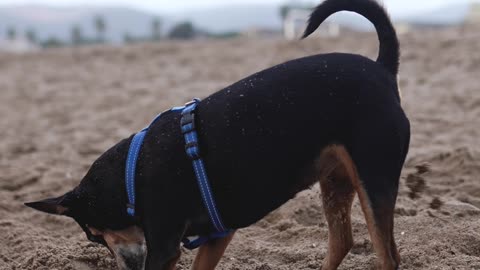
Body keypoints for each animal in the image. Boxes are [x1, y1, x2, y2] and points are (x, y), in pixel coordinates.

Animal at [25, 0, 408, 268]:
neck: (131, 175)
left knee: (387, 255)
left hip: (373, 179)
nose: (121, 265)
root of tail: (382, 69)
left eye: (94, 236)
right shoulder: (216, 234)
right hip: (336, 180)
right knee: (342, 242)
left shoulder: (163, 249)